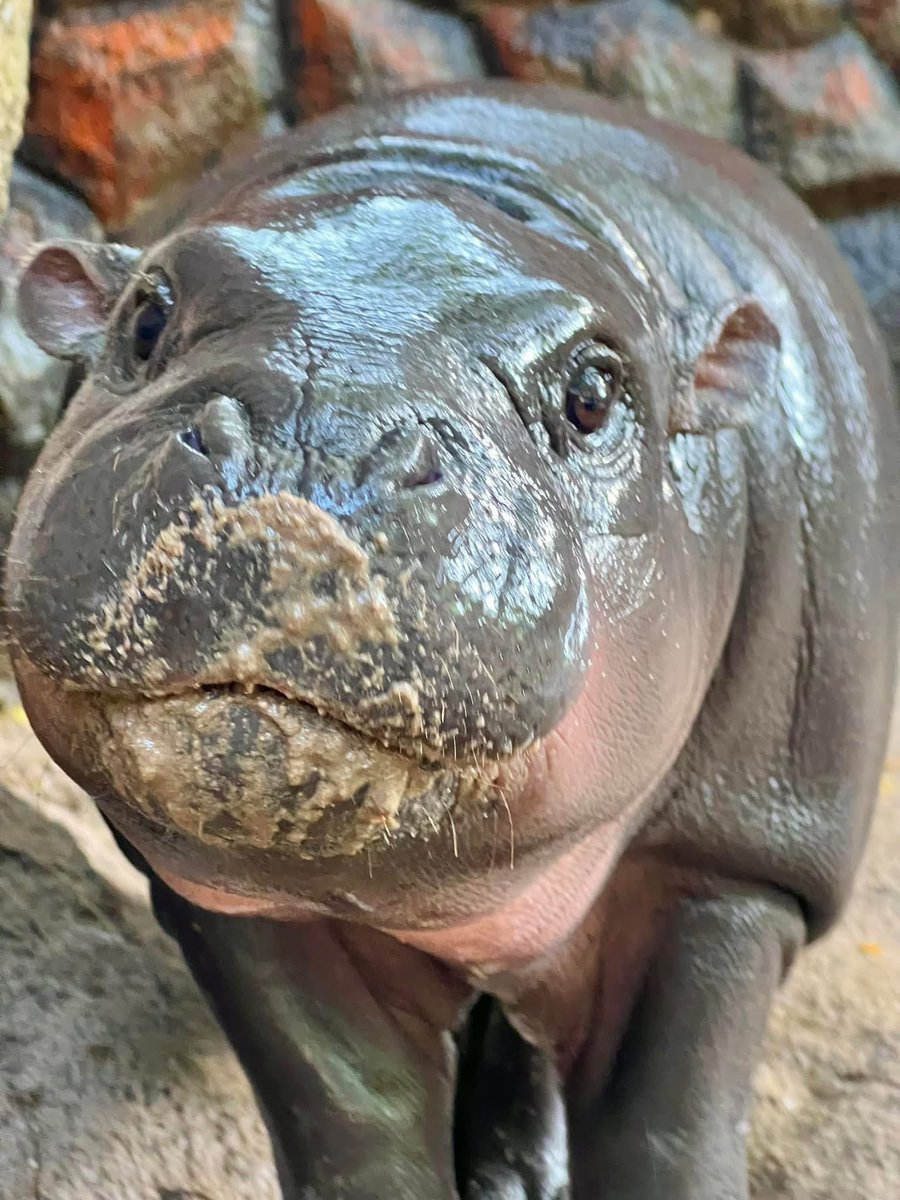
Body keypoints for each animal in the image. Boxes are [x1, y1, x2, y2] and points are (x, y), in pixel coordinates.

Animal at [5, 81, 898, 1200]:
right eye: (147, 315)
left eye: (594, 395)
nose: (320, 432)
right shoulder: (236, 893)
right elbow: (353, 1109)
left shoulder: (729, 867)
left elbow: (666, 1130)